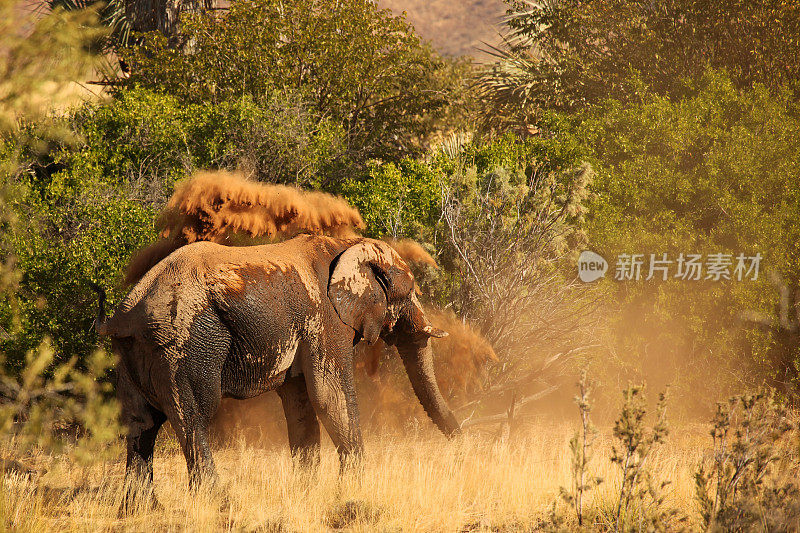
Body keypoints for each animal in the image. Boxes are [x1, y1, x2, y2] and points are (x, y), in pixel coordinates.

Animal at [92, 233, 462, 508]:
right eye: (410, 293)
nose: (463, 447)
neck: (347, 244)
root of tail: (125, 313)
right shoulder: (327, 319)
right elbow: (329, 395)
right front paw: (357, 490)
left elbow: (302, 402)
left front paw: (307, 493)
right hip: (181, 342)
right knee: (193, 416)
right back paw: (219, 503)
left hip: (131, 352)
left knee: (140, 423)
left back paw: (140, 509)